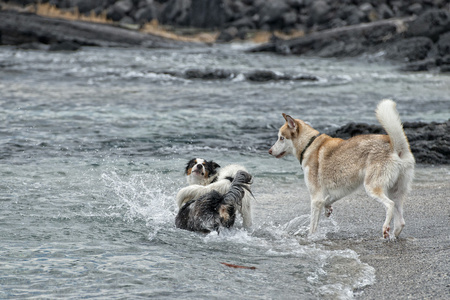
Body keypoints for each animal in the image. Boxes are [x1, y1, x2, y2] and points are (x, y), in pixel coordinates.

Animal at [268, 99, 416, 239]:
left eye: (281, 138)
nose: (269, 151)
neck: (308, 145)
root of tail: (395, 146)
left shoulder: (316, 198)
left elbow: (313, 226)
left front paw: (311, 237)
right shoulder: (340, 189)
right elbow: (327, 201)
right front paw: (328, 210)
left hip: (372, 187)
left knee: (390, 205)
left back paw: (386, 228)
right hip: (396, 191)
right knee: (400, 221)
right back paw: (394, 235)